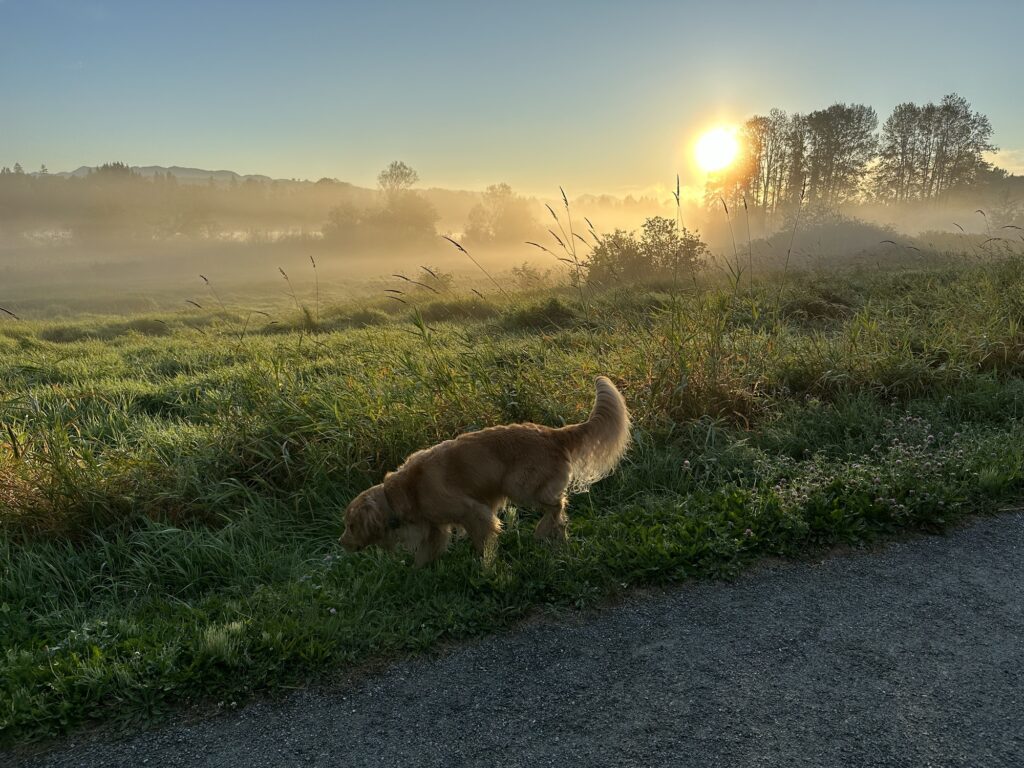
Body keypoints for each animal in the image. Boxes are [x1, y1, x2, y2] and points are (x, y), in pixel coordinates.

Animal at [344, 376, 626, 565]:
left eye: (350, 525)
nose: (341, 542)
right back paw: (555, 537)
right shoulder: (435, 528)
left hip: (518, 485)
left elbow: (482, 542)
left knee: (558, 505)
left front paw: (486, 566)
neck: (402, 492)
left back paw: (542, 530)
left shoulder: (473, 511)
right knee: (560, 515)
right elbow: (426, 555)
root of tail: (553, 433)